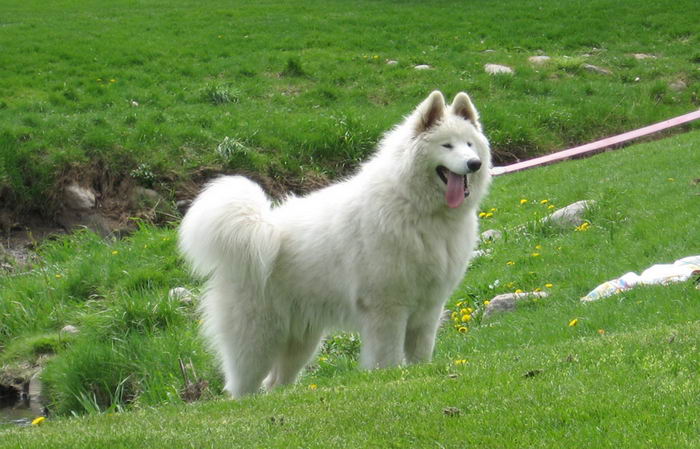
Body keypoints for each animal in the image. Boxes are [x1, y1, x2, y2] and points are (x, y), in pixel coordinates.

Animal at [180, 90, 492, 396]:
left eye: (469, 144)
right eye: (447, 145)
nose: (474, 163)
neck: (418, 208)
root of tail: (256, 228)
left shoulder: (428, 309)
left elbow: (420, 356)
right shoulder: (387, 309)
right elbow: (387, 358)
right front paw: (390, 379)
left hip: (301, 342)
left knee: (275, 383)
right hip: (257, 342)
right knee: (241, 389)